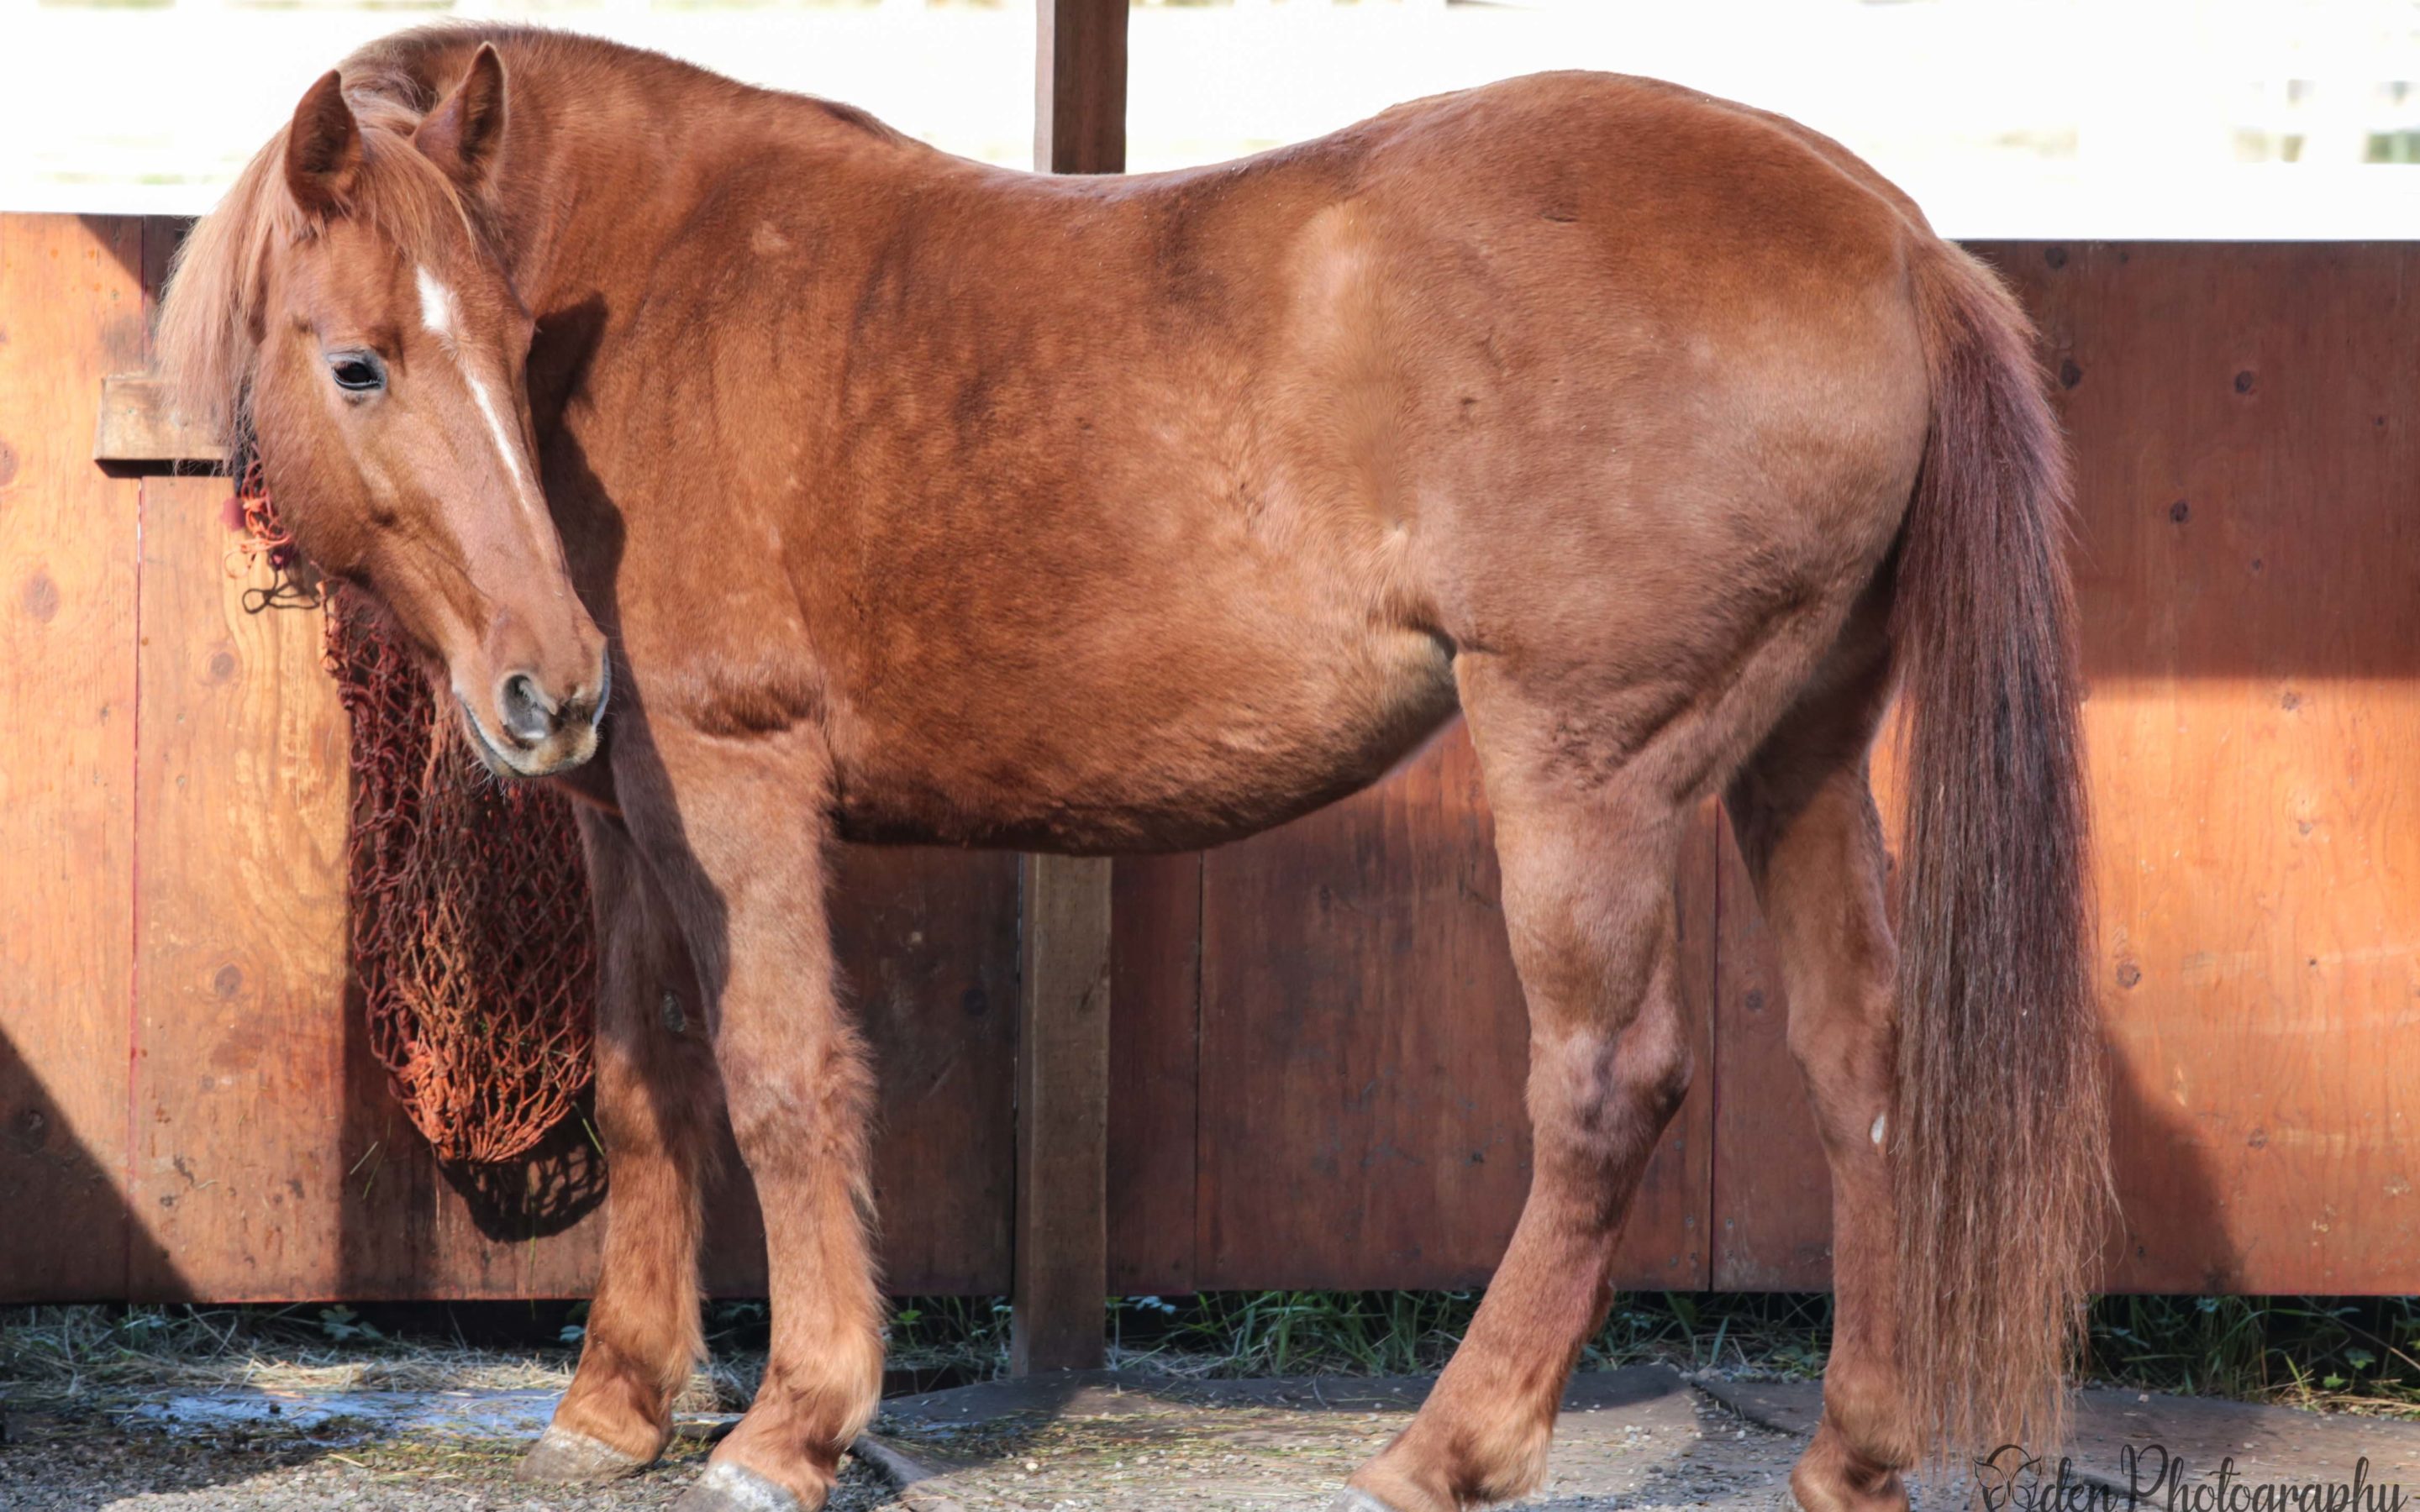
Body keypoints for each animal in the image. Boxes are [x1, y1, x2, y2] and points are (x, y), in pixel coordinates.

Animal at [160, 29, 2110, 1509]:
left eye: (498, 352)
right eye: (366, 362)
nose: (549, 680)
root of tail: (1894, 240)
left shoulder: (734, 787)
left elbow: (782, 1079)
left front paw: (794, 1426)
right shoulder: (630, 819)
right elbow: (650, 1085)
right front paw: (614, 1407)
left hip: (1588, 770)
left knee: (1606, 1088)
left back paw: (1448, 1449)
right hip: (1799, 757)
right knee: (1864, 1066)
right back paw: (1851, 1457)